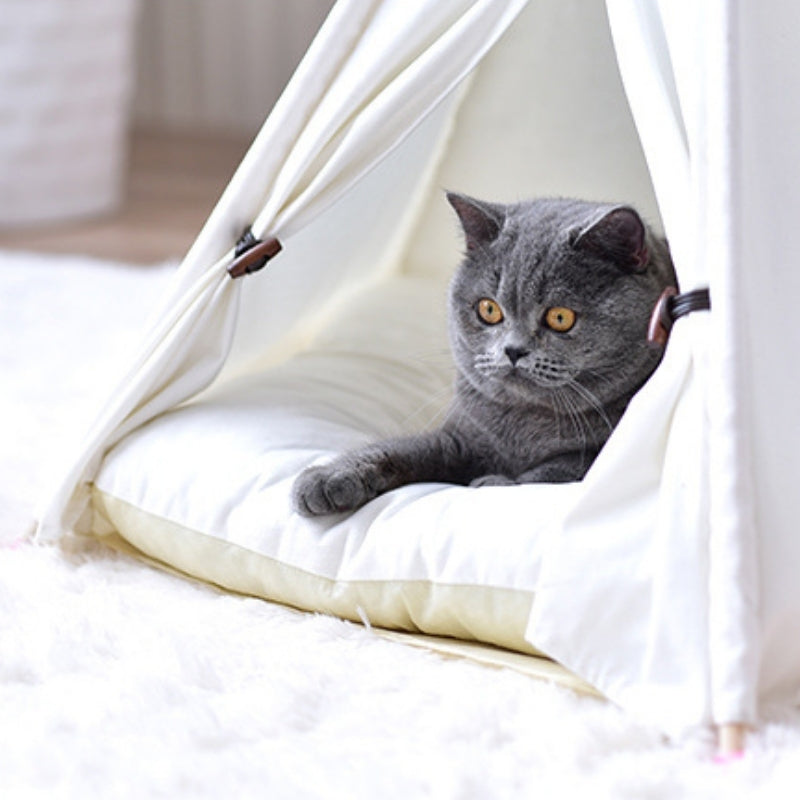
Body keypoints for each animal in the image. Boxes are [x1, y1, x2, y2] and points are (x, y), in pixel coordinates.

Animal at [294, 194, 676, 520]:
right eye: (489, 309)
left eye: (560, 317)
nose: (513, 350)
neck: (524, 426)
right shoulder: (459, 437)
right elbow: (407, 448)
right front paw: (328, 478)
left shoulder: (597, 455)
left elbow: (559, 469)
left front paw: (494, 483)